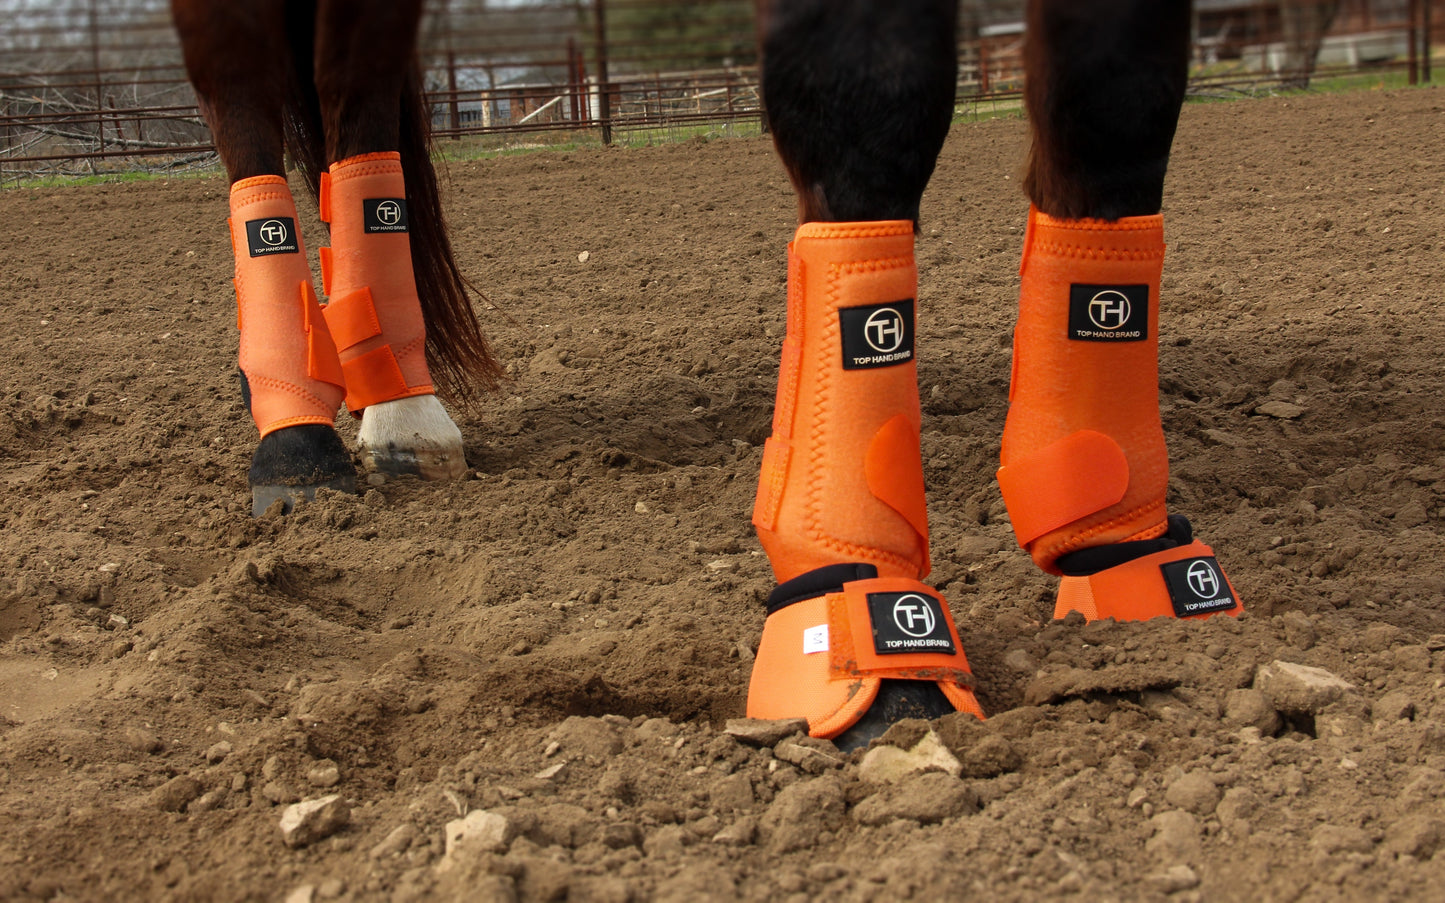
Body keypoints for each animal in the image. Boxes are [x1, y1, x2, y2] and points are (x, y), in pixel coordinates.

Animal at [174, 0, 1236, 745]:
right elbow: (873, 113)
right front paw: (870, 628)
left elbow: (1115, 115)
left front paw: (1129, 562)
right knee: (251, 103)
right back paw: (298, 435)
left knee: (350, 113)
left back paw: (392, 402)